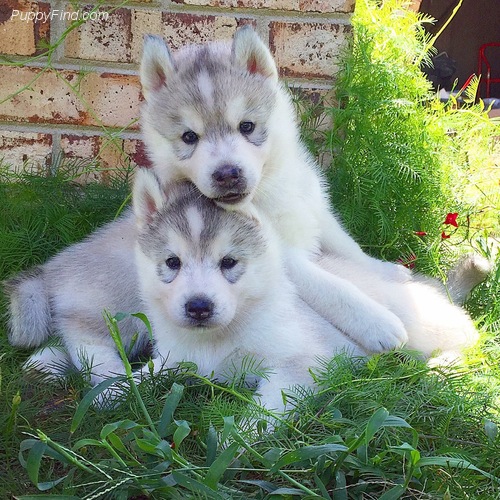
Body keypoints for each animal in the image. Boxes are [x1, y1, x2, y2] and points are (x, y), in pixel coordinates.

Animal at [3, 169, 364, 414]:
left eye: (229, 262)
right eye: (172, 263)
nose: (199, 307)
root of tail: (55, 267)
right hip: (120, 308)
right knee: (87, 340)